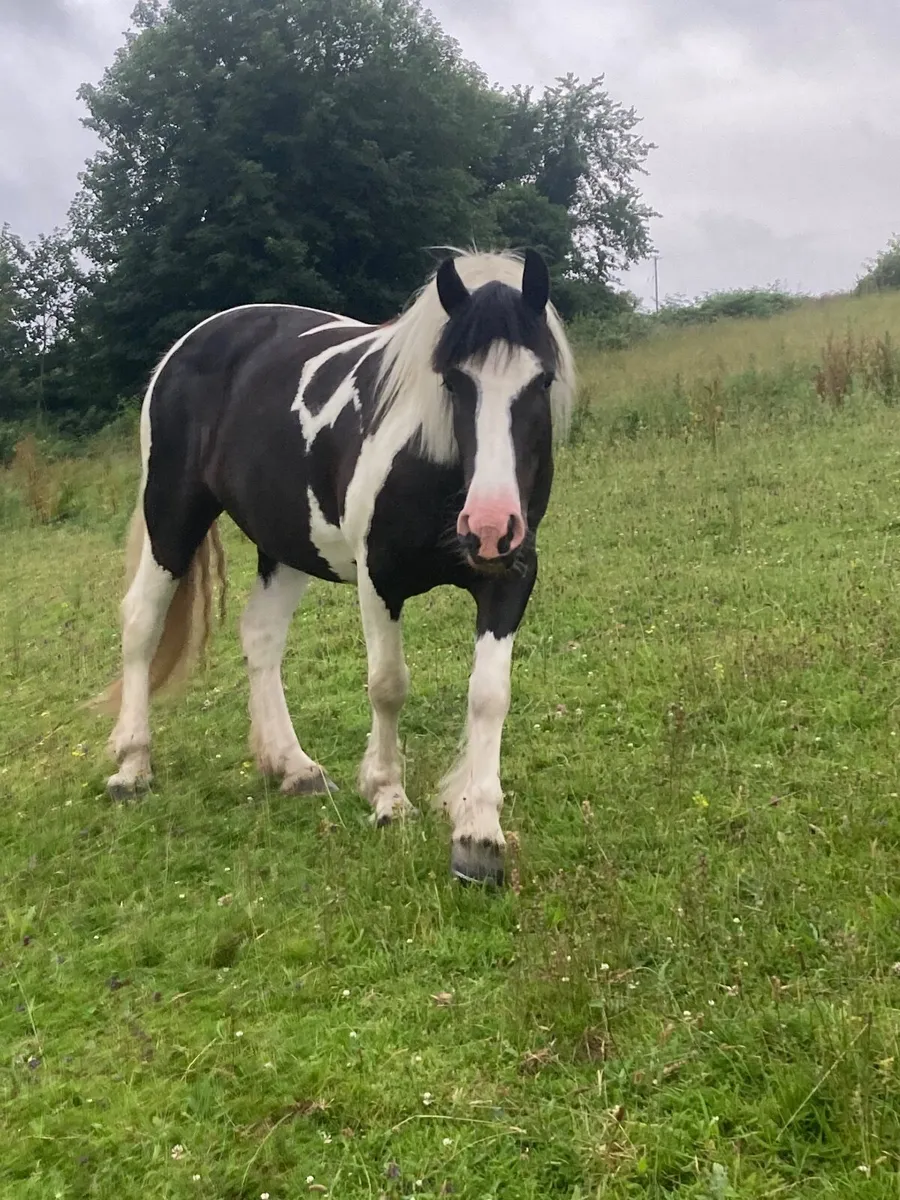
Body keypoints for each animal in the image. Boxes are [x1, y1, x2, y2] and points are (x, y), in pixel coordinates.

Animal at [94, 248, 576, 885]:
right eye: (454, 380)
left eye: (540, 380)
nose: (490, 525)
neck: (433, 462)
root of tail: (192, 343)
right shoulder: (380, 581)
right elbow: (388, 686)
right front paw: (388, 796)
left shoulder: (509, 579)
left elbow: (490, 694)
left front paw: (479, 830)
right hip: (171, 517)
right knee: (141, 624)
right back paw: (132, 765)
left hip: (285, 546)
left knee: (260, 636)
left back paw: (294, 767)